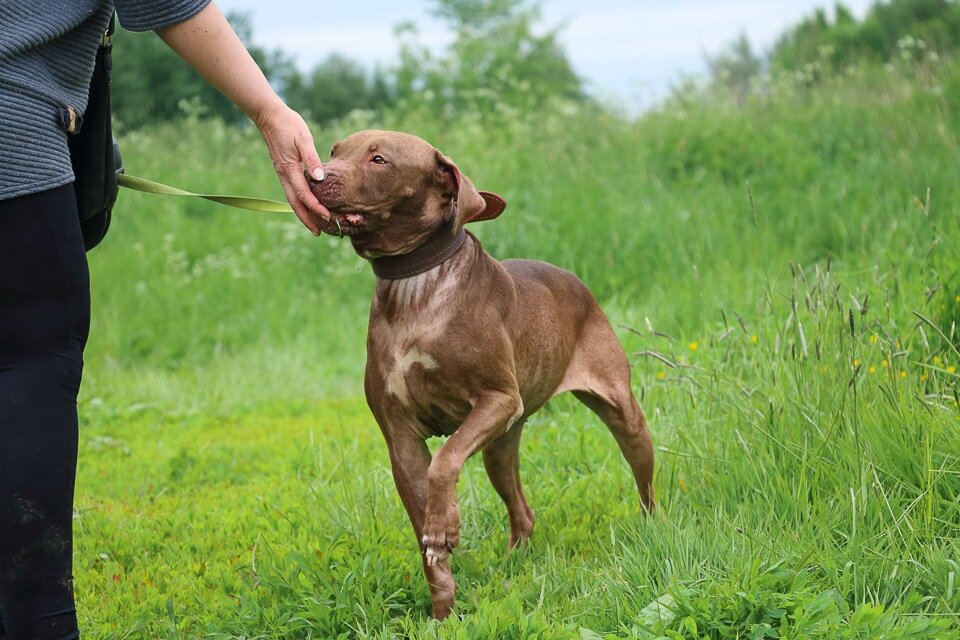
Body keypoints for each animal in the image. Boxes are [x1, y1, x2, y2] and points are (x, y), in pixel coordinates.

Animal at [308, 131, 652, 620]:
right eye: (336, 150)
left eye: (379, 159)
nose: (313, 175)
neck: (415, 286)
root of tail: (576, 281)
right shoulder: (401, 440)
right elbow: (426, 534)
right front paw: (443, 611)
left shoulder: (497, 399)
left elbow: (445, 460)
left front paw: (444, 526)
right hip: (500, 448)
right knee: (521, 510)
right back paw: (515, 563)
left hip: (621, 414)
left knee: (644, 480)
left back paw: (653, 528)